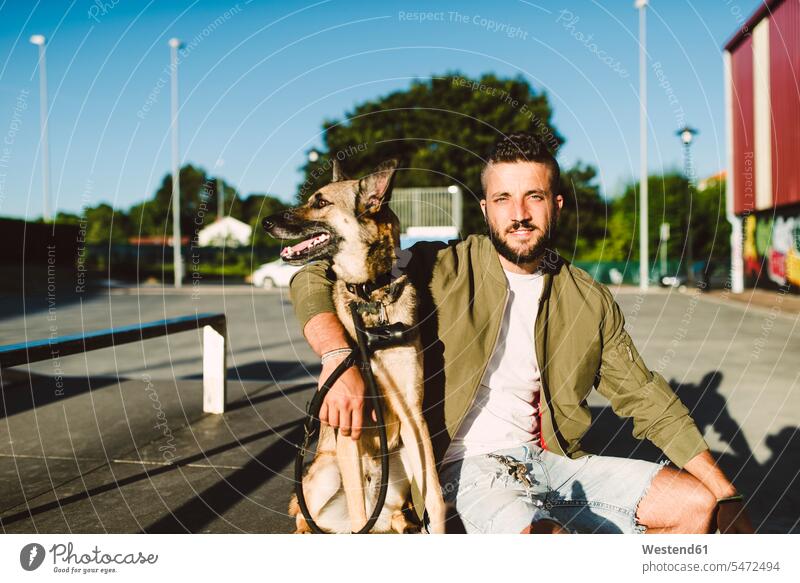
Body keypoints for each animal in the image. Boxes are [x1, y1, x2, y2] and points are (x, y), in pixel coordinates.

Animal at [264, 159, 446, 532]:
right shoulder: (350, 428)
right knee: (311, 516)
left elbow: (435, 497)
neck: (371, 296)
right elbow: (361, 512)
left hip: (401, 462)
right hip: (324, 472)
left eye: (320, 202)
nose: (266, 222)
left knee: (390, 515)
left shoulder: (414, 416)